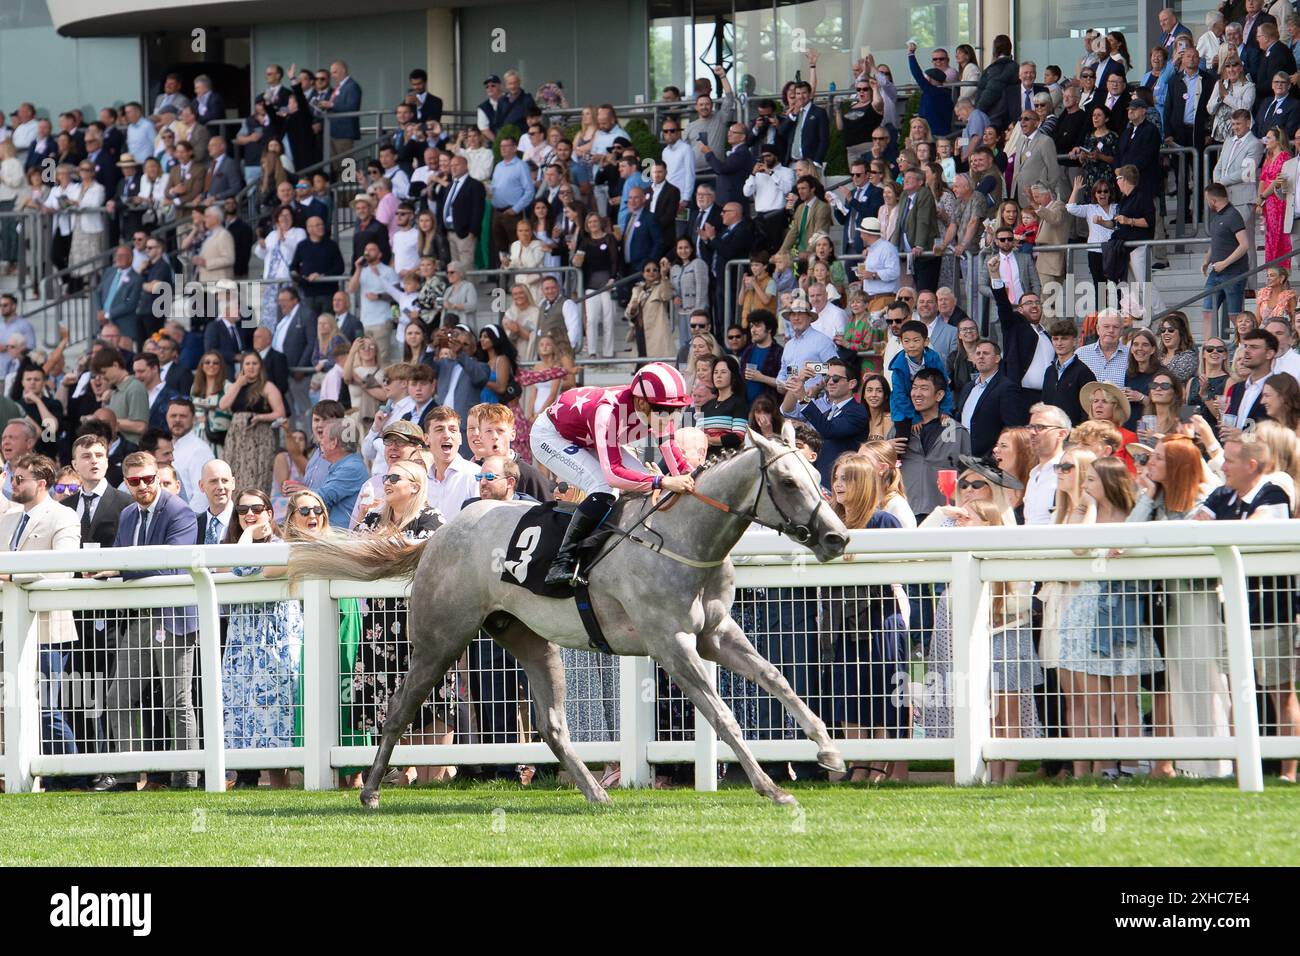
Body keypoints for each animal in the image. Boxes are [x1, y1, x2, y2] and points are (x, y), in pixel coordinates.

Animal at [289, 429, 847, 811]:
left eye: (818, 477)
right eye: (788, 481)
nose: (837, 537)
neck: (685, 539)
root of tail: (439, 535)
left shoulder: (715, 634)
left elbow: (778, 679)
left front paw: (830, 754)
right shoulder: (672, 642)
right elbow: (721, 713)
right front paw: (771, 787)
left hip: (530, 639)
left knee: (551, 724)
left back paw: (596, 791)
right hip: (440, 638)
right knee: (400, 707)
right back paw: (369, 791)